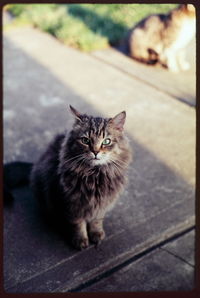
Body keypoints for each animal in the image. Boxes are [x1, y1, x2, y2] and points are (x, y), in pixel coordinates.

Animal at [30, 106, 132, 250]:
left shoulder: (101, 205)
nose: (95, 152)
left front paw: (96, 234)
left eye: (106, 141)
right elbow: (78, 224)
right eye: (85, 140)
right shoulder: (71, 204)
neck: (95, 176)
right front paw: (80, 240)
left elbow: (96, 221)